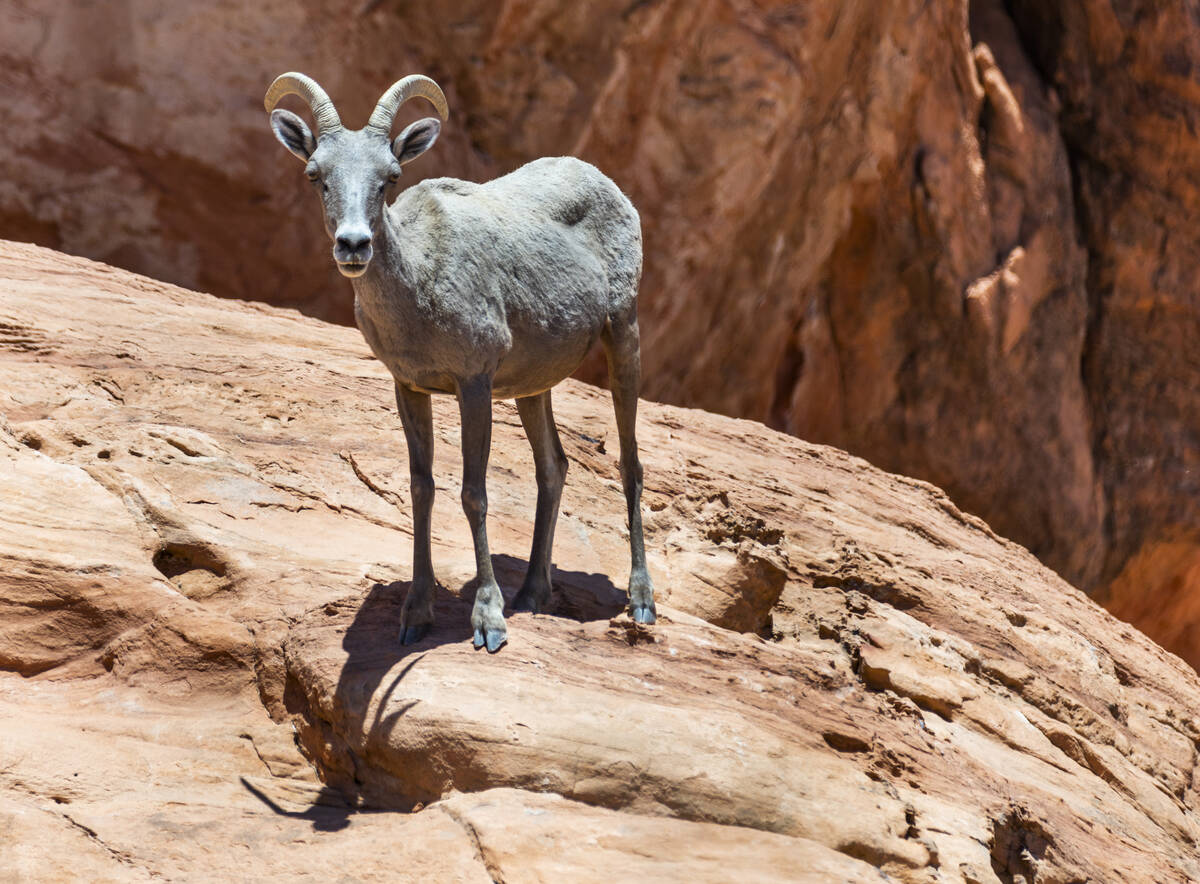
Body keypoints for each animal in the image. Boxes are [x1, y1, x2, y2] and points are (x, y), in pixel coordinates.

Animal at [266, 74, 657, 647]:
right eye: (316, 175)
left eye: (389, 177)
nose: (354, 244)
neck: (421, 286)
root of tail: (608, 185)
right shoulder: (410, 387)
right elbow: (421, 488)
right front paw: (415, 615)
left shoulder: (474, 384)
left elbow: (475, 493)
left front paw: (488, 622)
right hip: (533, 386)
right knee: (554, 467)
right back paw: (533, 594)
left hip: (622, 335)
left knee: (630, 463)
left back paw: (641, 601)